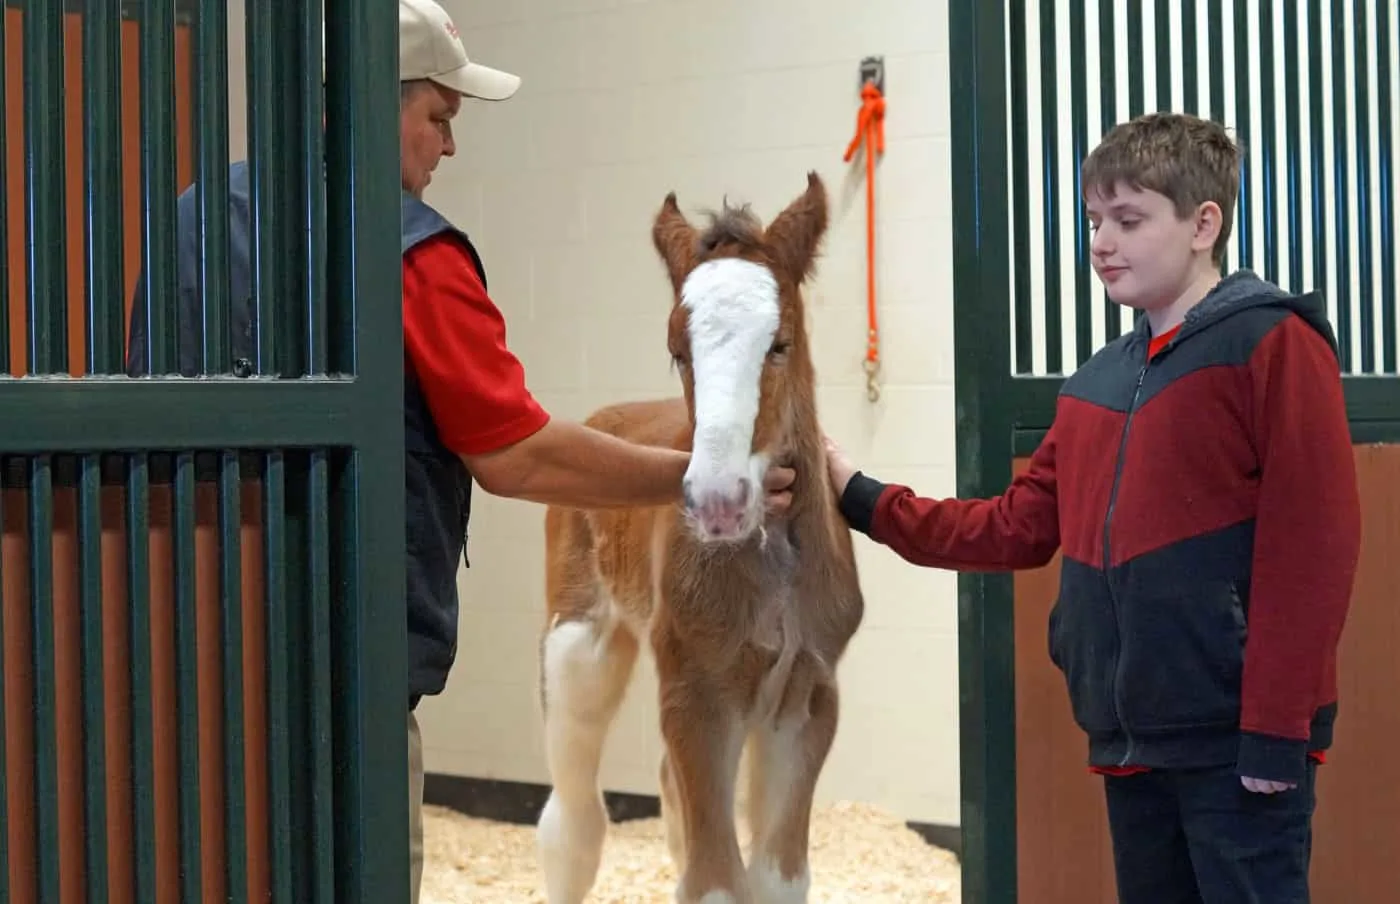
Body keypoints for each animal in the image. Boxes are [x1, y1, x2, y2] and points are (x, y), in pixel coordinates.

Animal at [534, 173, 862, 901]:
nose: (717, 501)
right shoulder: (697, 695)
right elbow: (715, 883)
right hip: (579, 644)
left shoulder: (808, 699)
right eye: (677, 351)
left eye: (779, 343)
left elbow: (773, 876)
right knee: (571, 823)